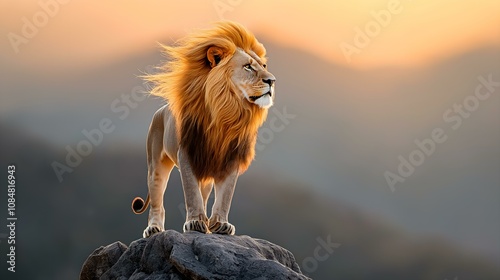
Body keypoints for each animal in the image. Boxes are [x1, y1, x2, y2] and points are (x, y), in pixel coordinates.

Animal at [131, 21, 276, 238]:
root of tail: (160, 110)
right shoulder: (187, 152)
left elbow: (225, 196)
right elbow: (192, 193)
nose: (272, 81)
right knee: (157, 201)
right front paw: (194, 222)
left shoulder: (231, 157)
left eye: (264, 66)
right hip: (156, 165)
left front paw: (220, 224)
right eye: (248, 66)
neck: (227, 112)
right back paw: (154, 228)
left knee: (205, 194)